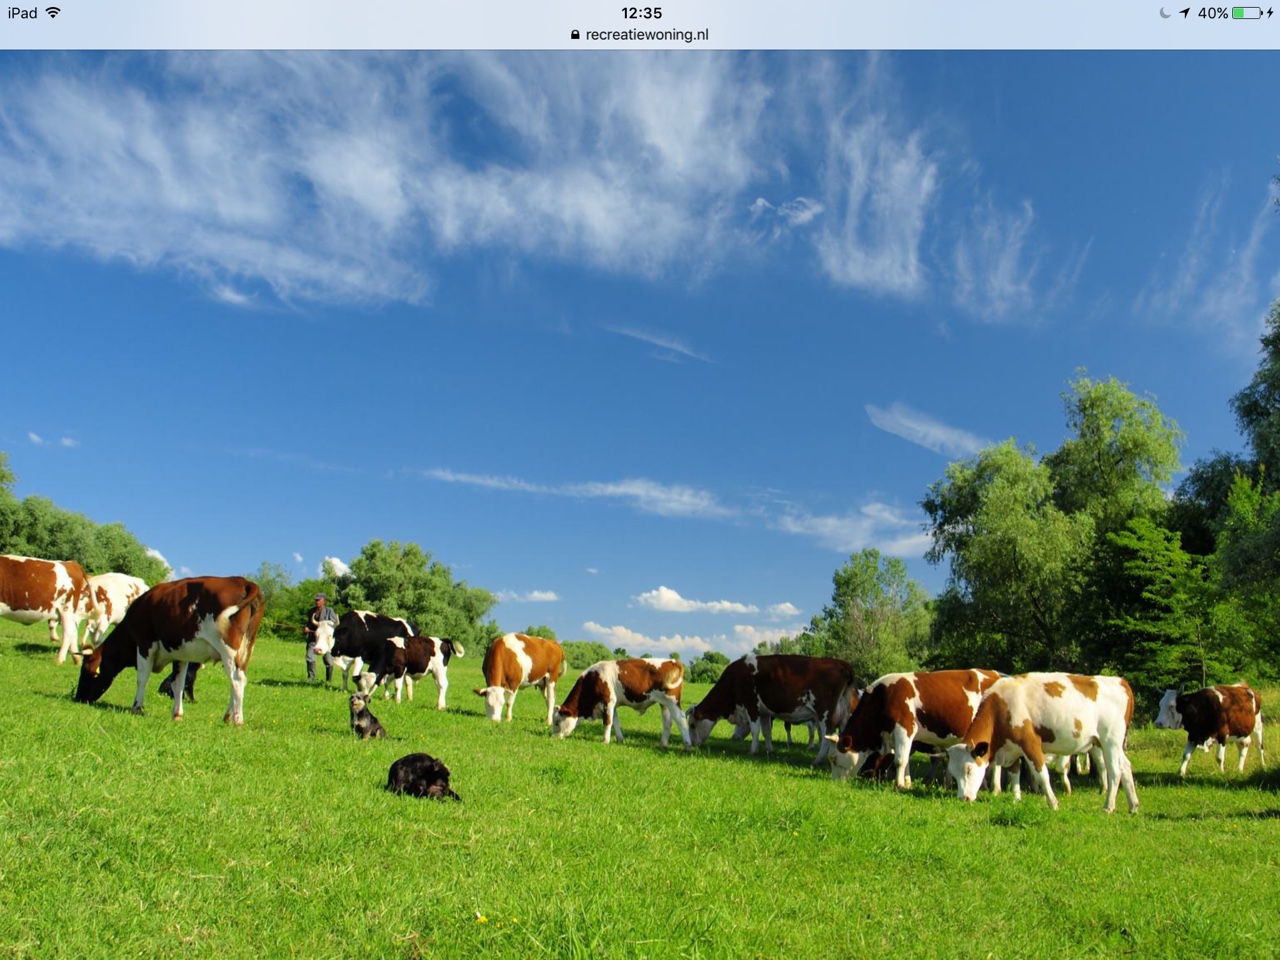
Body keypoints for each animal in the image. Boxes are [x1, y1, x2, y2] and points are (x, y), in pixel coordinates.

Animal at [74, 576, 264, 726]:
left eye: (88, 672)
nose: (78, 698)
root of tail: (243, 581)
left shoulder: (145, 645)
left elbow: (142, 678)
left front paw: (137, 707)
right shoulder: (182, 654)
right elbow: (177, 683)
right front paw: (177, 714)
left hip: (228, 649)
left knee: (237, 680)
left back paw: (237, 720)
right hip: (245, 650)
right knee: (237, 681)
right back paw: (227, 716)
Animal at [553, 658, 691, 747]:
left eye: (557, 722)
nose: (552, 736)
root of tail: (672, 661)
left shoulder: (608, 701)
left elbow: (607, 722)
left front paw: (605, 741)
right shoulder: (612, 705)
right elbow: (615, 722)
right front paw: (620, 740)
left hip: (672, 701)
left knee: (681, 719)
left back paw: (688, 745)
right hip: (664, 704)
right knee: (667, 722)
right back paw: (663, 744)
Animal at [685, 653, 858, 765]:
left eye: (692, 725)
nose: (692, 744)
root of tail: (841, 664)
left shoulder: (752, 707)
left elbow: (755, 731)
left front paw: (752, 751)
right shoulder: (764, 712)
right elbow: (766, 732)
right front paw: (770, 751)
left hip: (825, 713)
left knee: (826, 736)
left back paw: (818, 759)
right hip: (844, 714)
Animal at [828, 669, 1002, 788]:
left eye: (835, 759)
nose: (834, 783)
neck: (884, 697)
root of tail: (995, 674)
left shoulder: (904, 729)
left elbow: (900, 760)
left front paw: (898, 785)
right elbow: (905, 761)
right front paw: (906, 783)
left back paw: (994, 788)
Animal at [945, 673, 1139, 813]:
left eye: (969, 769)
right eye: (952, 773)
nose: (963, 798)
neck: (1001, 706)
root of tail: (1119, 681)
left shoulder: (1030, 744)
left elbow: (1042, 774)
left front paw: (1053, 803)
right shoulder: (1012, 747)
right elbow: (1014, 773)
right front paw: (1016, 799)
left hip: (1110, 741)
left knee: (1115, 771)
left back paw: (1108, 806)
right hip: (1111, 743)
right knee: (1126, 767)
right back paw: (1133, 805)